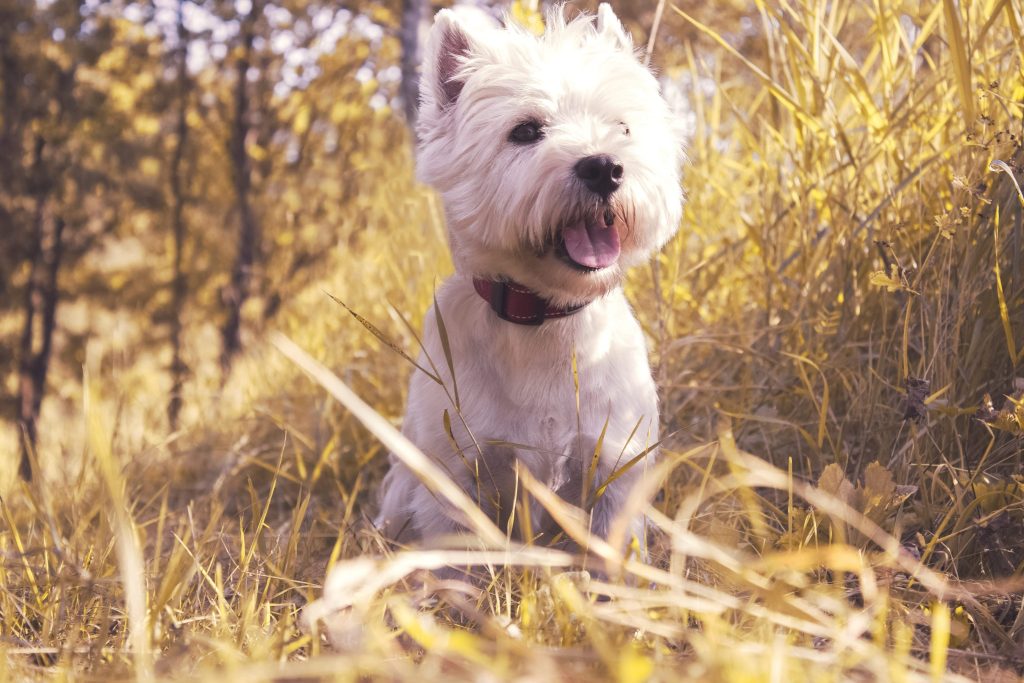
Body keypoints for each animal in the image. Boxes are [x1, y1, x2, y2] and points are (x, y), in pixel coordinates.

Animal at [372, 2, 684, 552]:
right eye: (524, 131)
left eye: (622, 127)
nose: (604, 167)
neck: (543, 316)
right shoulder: (455, 478)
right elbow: (457, 563)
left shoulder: (614, 464)